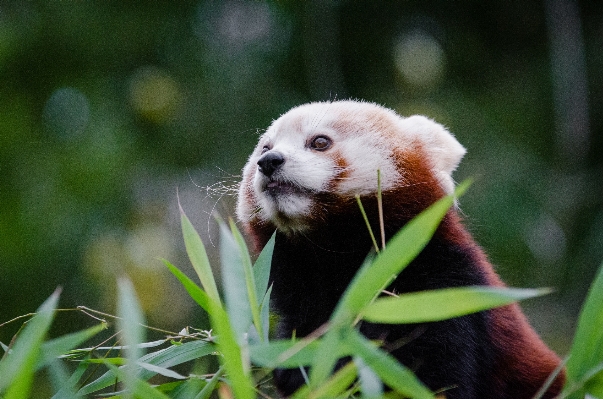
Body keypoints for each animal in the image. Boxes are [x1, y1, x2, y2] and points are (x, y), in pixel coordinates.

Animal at [236, 101, 568, 398]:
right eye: (264, 148)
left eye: (319, 142)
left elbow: (436, 377)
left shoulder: (442, 294)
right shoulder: (302, 316)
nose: (269, 162)